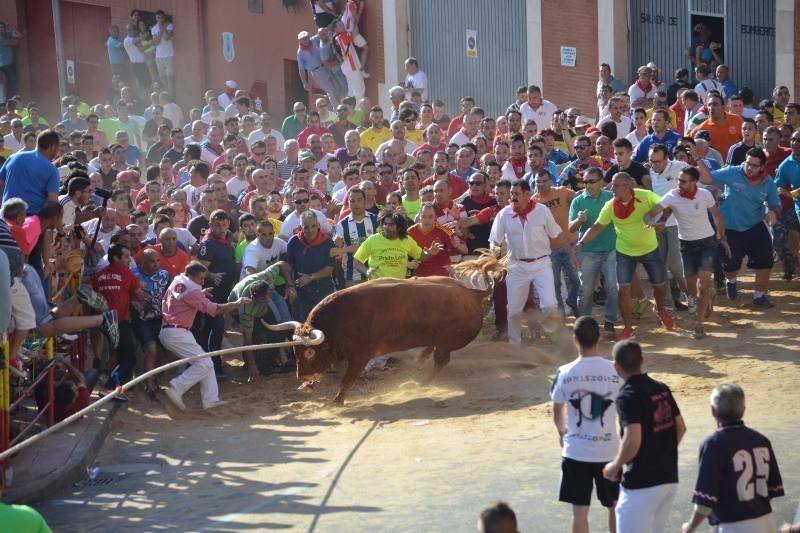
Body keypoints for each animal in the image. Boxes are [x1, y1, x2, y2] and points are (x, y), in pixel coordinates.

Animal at [266, 254, 504, 404]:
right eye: (294, 350)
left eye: (309, 352)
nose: (301, 376)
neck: (338, 321)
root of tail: (474, 293)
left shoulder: (360, 356)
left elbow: (348, 379)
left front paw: (337, 401)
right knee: (433, 351)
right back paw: (419, 363)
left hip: (446, 342)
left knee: (441, 361)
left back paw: (420, 383)